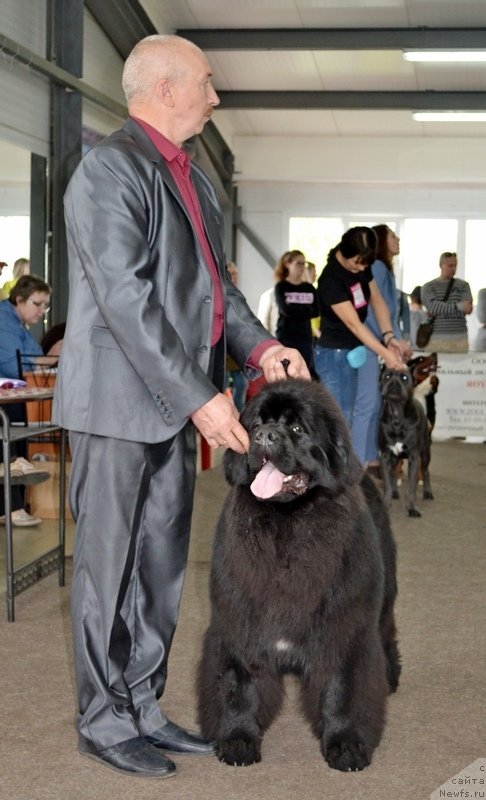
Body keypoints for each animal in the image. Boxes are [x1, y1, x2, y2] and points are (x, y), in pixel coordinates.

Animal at [196, 378, 400, 772]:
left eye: (296, 429)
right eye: (256, 423)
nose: (264, 436)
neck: (286, 526)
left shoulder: (343, 626)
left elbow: (342, 688)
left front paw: (346, 745)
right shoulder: (239, 621)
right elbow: (239, 684)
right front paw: (237, 739)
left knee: (385, 630)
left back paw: (392, 675)